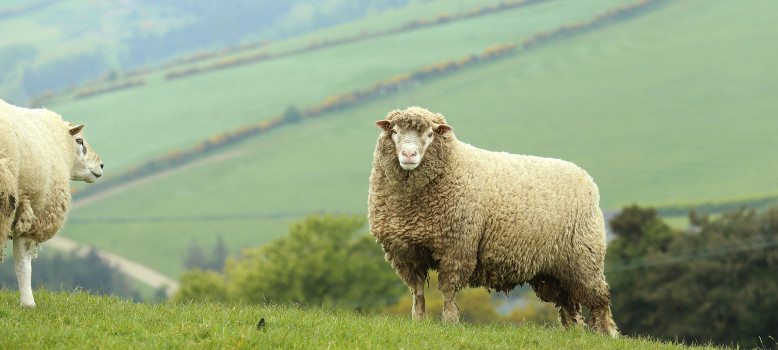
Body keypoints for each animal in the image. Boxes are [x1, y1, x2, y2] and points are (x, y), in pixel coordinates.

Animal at [368, 106, 620, 336]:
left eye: (430, 134)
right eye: (395, 132)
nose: (409, 155)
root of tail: (586, 177)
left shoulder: (457, 247)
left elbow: (448, 289)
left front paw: (450, 322)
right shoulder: (405, 252)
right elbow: (417, 290)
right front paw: (418, 321)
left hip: (584, 257)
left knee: (599, 298)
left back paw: (606, 333)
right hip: (553, 269)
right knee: (568, 303)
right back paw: (572, 333)